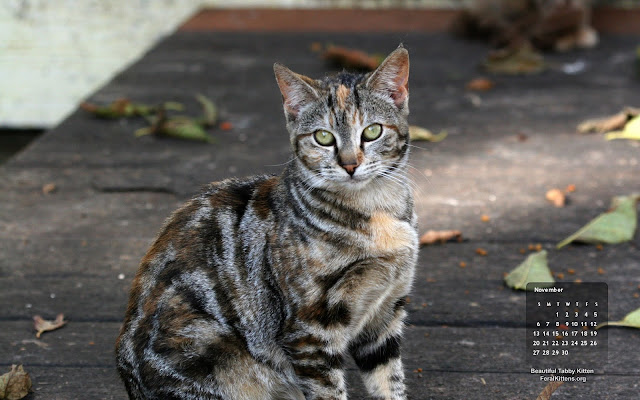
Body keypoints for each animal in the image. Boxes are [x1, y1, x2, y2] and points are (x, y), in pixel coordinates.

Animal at [116, 45, 420, 398]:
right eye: (323, 137)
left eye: (372, 131)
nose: (349, 165)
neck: (376, 211)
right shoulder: (309, 331)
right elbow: (329, 390)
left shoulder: (384, 316)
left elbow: (389, 382)